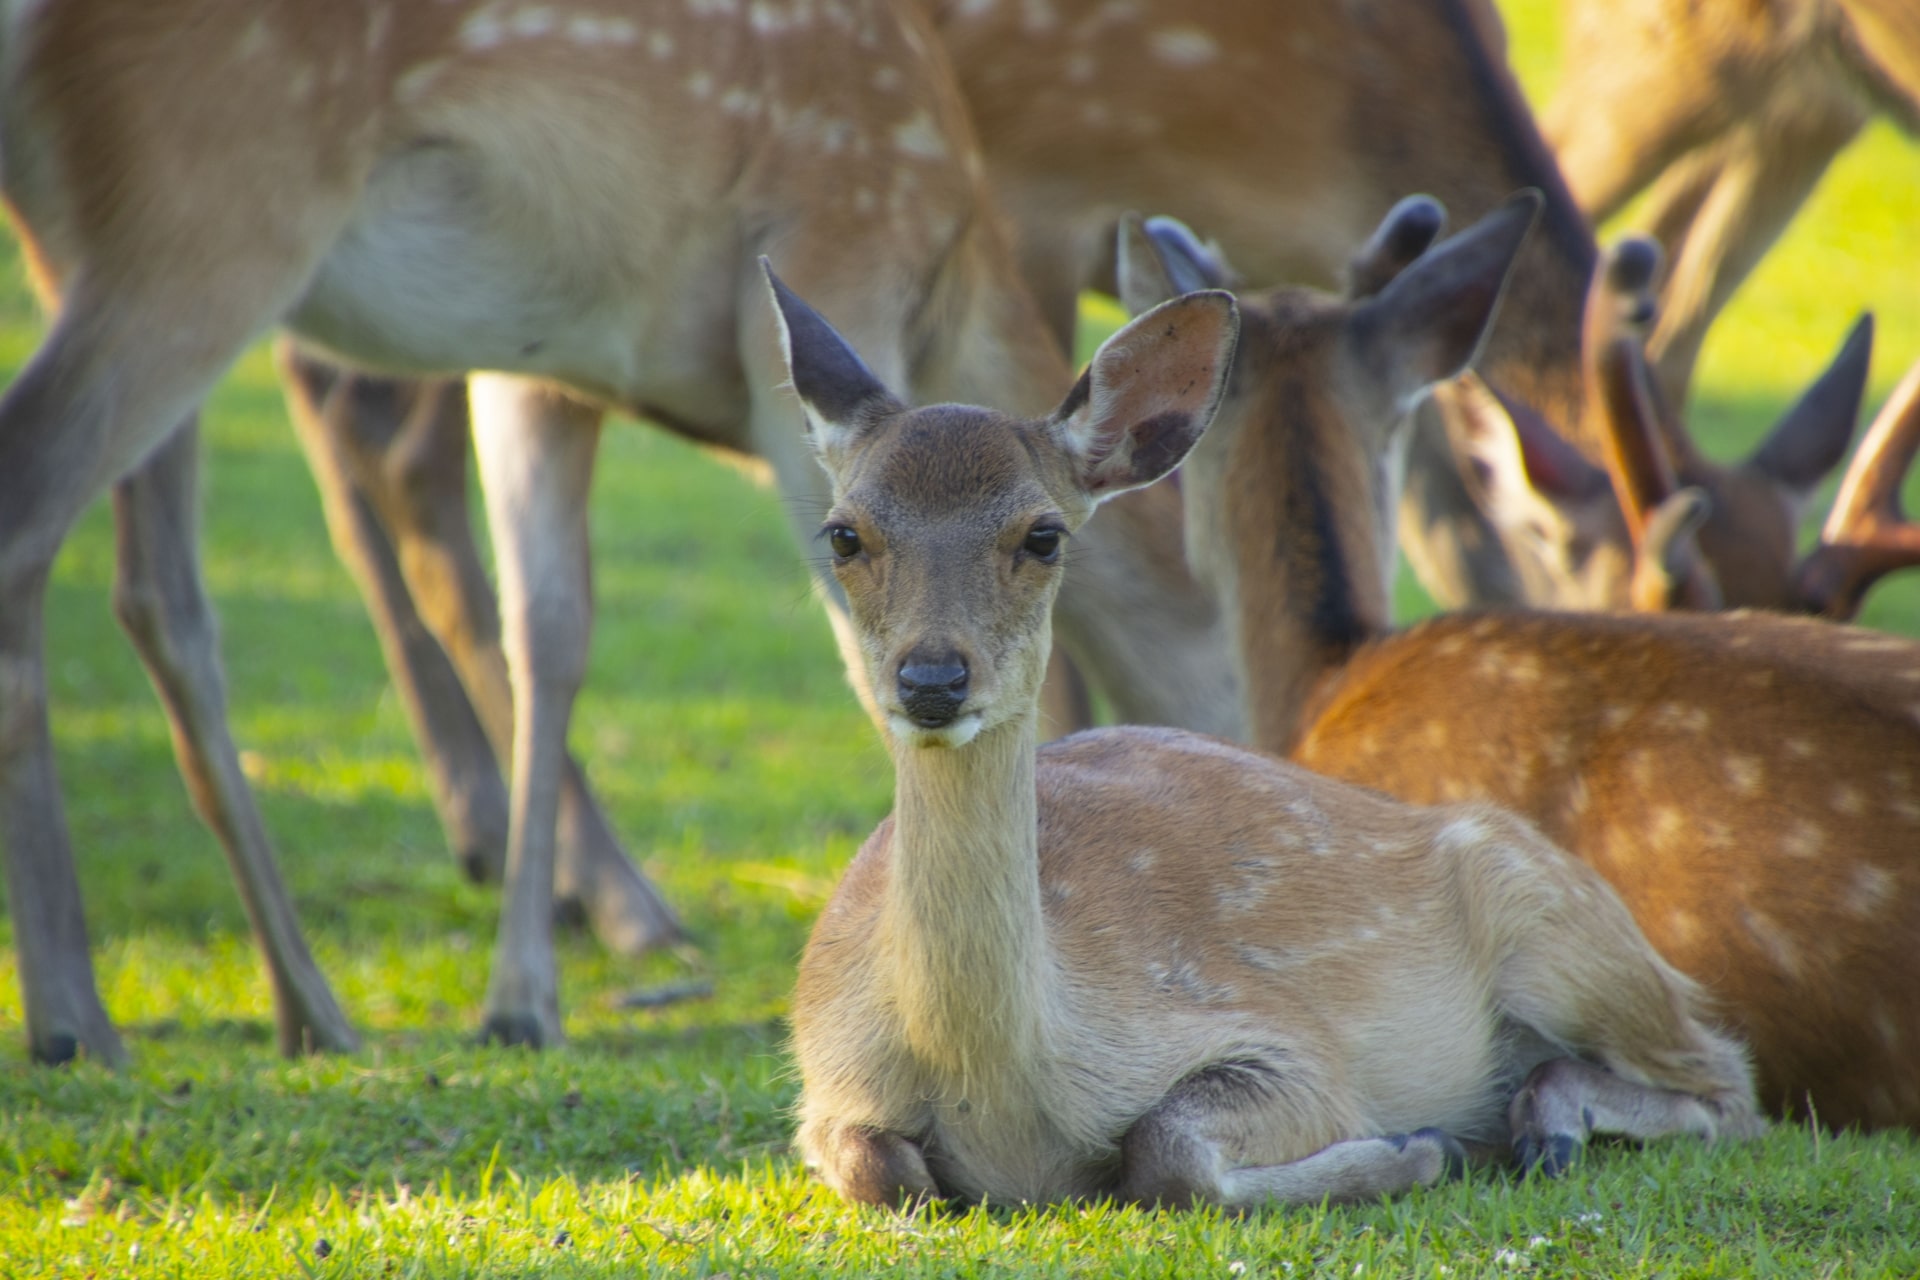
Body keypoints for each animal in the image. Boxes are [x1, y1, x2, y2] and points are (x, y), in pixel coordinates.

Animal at [0, 0, 1244, 1059]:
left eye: (1043, 536)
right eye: (845, 535)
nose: (940, 682)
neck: (953, 256)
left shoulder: (543, 355)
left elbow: (548, 629)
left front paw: (520, 996)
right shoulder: (828, 245)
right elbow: (845, 659)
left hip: (108, 254)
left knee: (159, 587)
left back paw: (305, 1001)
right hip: (205, 213)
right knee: (37, 508)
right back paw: (79, 1016)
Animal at [771, 262, 1758, 1212]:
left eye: (1042, 535)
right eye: (844, 534)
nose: (932, 680)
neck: (1004, 1105)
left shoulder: (1282, 1039)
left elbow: (1165, 1150)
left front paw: (1415, 1147)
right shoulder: (825, 1086)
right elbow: (884, 1171)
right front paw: (1423, 1148)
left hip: (1563, 929)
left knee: (1729, 1084)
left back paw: (1534, 1125)